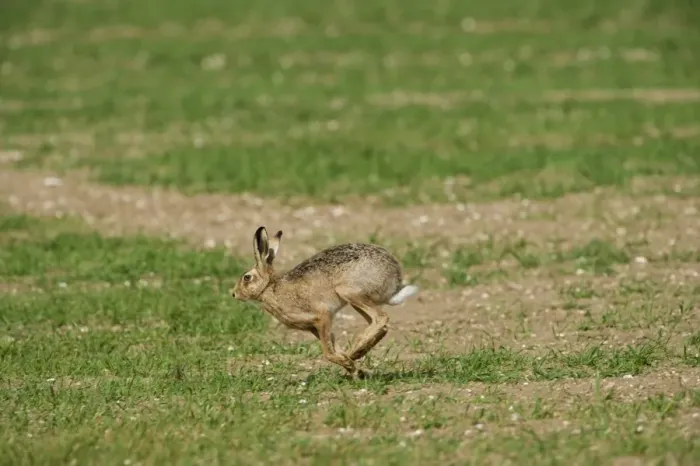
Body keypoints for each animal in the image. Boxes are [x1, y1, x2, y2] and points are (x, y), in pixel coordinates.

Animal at [230, 226, 419, 379]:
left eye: (247, 278)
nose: (233, 293)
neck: (270, 288)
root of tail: (394, 281)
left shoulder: (322, 316)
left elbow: (328, 353)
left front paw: (350, 364)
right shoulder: (313, 327)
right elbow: (334, 347)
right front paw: (355, 370)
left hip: (348, 291)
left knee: (381, 317)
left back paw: (355, 351)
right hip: (355, 299)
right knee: (377, 323)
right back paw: (358, 352)